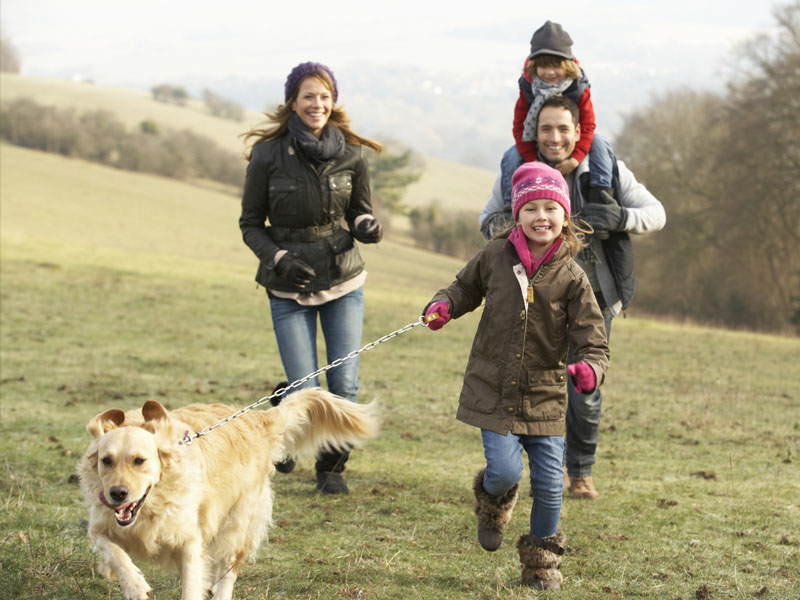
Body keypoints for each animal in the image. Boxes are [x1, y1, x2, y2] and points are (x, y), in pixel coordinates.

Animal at [79, 386, 380, 596]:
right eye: (106, 460)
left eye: (139, 461)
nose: (118, 493)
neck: (150, 507)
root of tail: (258, 419)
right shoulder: (100, 526)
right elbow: (115, 553)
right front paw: (135, 585)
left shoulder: (189, 541)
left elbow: (191, 585)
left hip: (237, 521)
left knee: (228, 568)